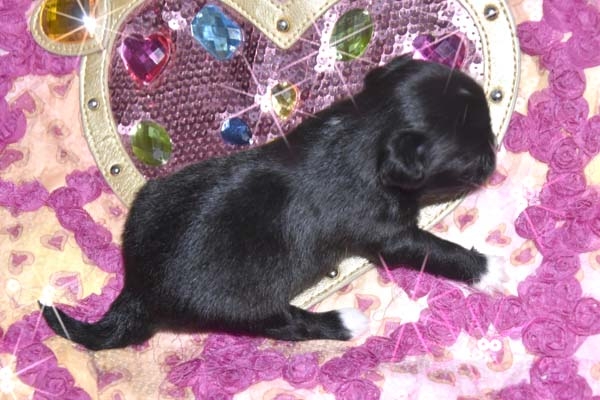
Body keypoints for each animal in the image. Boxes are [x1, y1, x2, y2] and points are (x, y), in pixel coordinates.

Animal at [41, 55, 497, 350]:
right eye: (472, 161)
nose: (494, 154)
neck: (365, 129)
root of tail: (136, 290)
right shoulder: (390, 235)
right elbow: (438, 250)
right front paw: (492, 269)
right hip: (243, 309)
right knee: (288, 324)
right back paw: (344, 322)